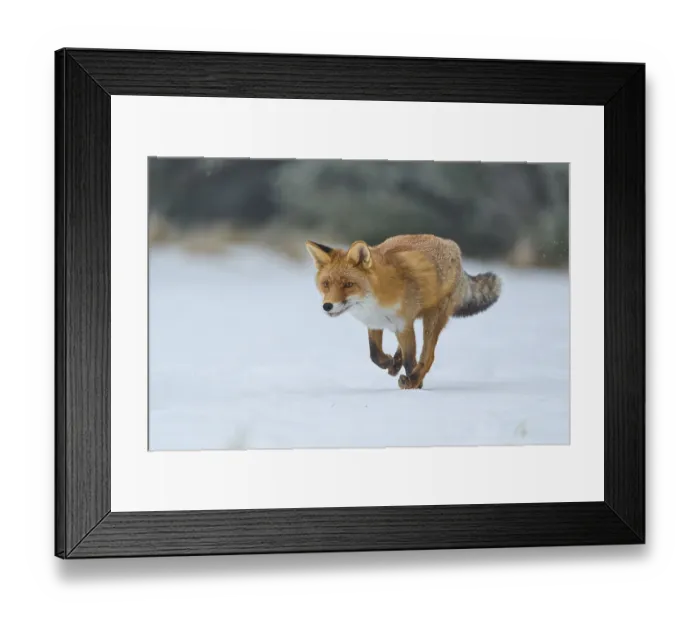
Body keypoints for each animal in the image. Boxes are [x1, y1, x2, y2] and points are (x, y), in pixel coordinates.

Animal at [305, 234, 502, 390]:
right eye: (326, 284)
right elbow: (374, 354)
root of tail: (452, 246)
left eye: (348, 284)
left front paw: (414, 385)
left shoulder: (403, 324)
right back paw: (395, 364)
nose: (327, 306)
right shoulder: (375, 323)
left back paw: (414, 377)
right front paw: (389, 362)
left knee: (428, 356)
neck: (375, 300)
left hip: (432, 319)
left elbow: (410, 359)